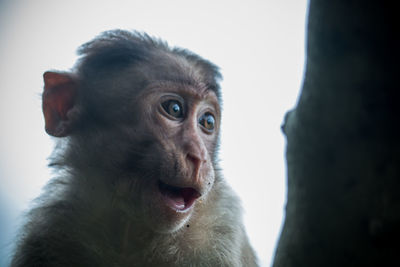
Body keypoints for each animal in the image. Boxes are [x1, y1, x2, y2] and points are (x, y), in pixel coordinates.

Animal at [11, 29, 260, 267]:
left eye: (207, 122)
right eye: (174, 108)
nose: (199, 157)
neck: (128, 230)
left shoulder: (216, 235)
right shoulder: (49, 229)